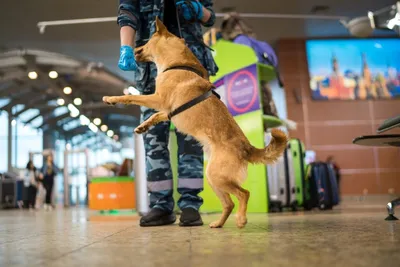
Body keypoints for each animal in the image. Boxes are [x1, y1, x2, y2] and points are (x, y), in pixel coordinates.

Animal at [104, 17, 288, 229]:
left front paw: (111, 98)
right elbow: (155, 116)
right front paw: (143, 126)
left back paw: (241, 219)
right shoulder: (167, 110)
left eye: (147, 40)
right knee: (229, 203)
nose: (132, 49)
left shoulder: (158, 99)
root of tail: (247, 148)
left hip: (217, 176)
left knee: (244, 194)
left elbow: (132, 98)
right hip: (214, 178)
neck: (177, 64)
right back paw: (218, 223)